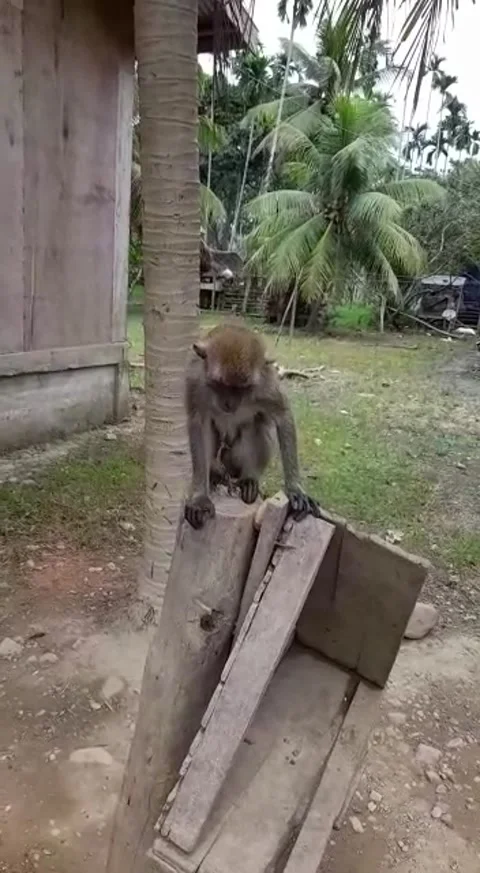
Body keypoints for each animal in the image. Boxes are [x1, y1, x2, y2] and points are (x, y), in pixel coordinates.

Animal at [184, 322, 321, 530]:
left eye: (243, 388)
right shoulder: (195, 381)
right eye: (220, 384)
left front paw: (295, 489)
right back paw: (214, 473)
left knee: (255, 426)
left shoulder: (265, 383)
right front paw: (199, 498)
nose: (229, 404)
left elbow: (282, 414)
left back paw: (249, 479)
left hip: (235, 460)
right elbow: (198, 422)